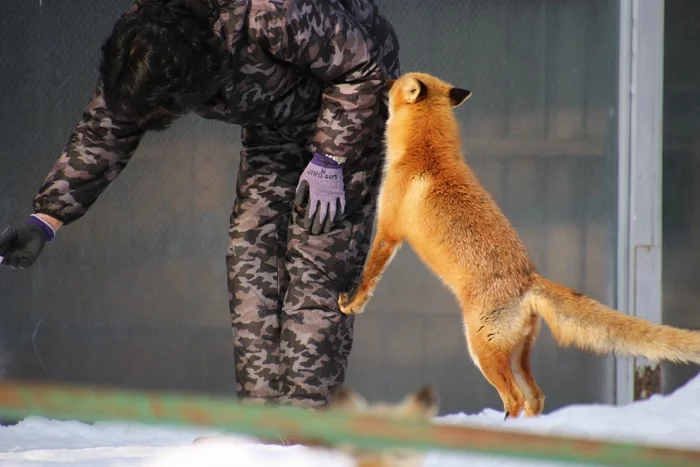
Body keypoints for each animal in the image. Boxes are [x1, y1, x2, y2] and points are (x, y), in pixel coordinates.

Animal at [337, 71, 700, 418]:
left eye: (395, 83)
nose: (382, 80)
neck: (427, 152)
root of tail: (529, 279)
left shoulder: (389, 230)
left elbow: (370, 274)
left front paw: (352, 303)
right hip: (517, 353)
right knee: (535, 396)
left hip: (482, 351)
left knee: (514, 398)